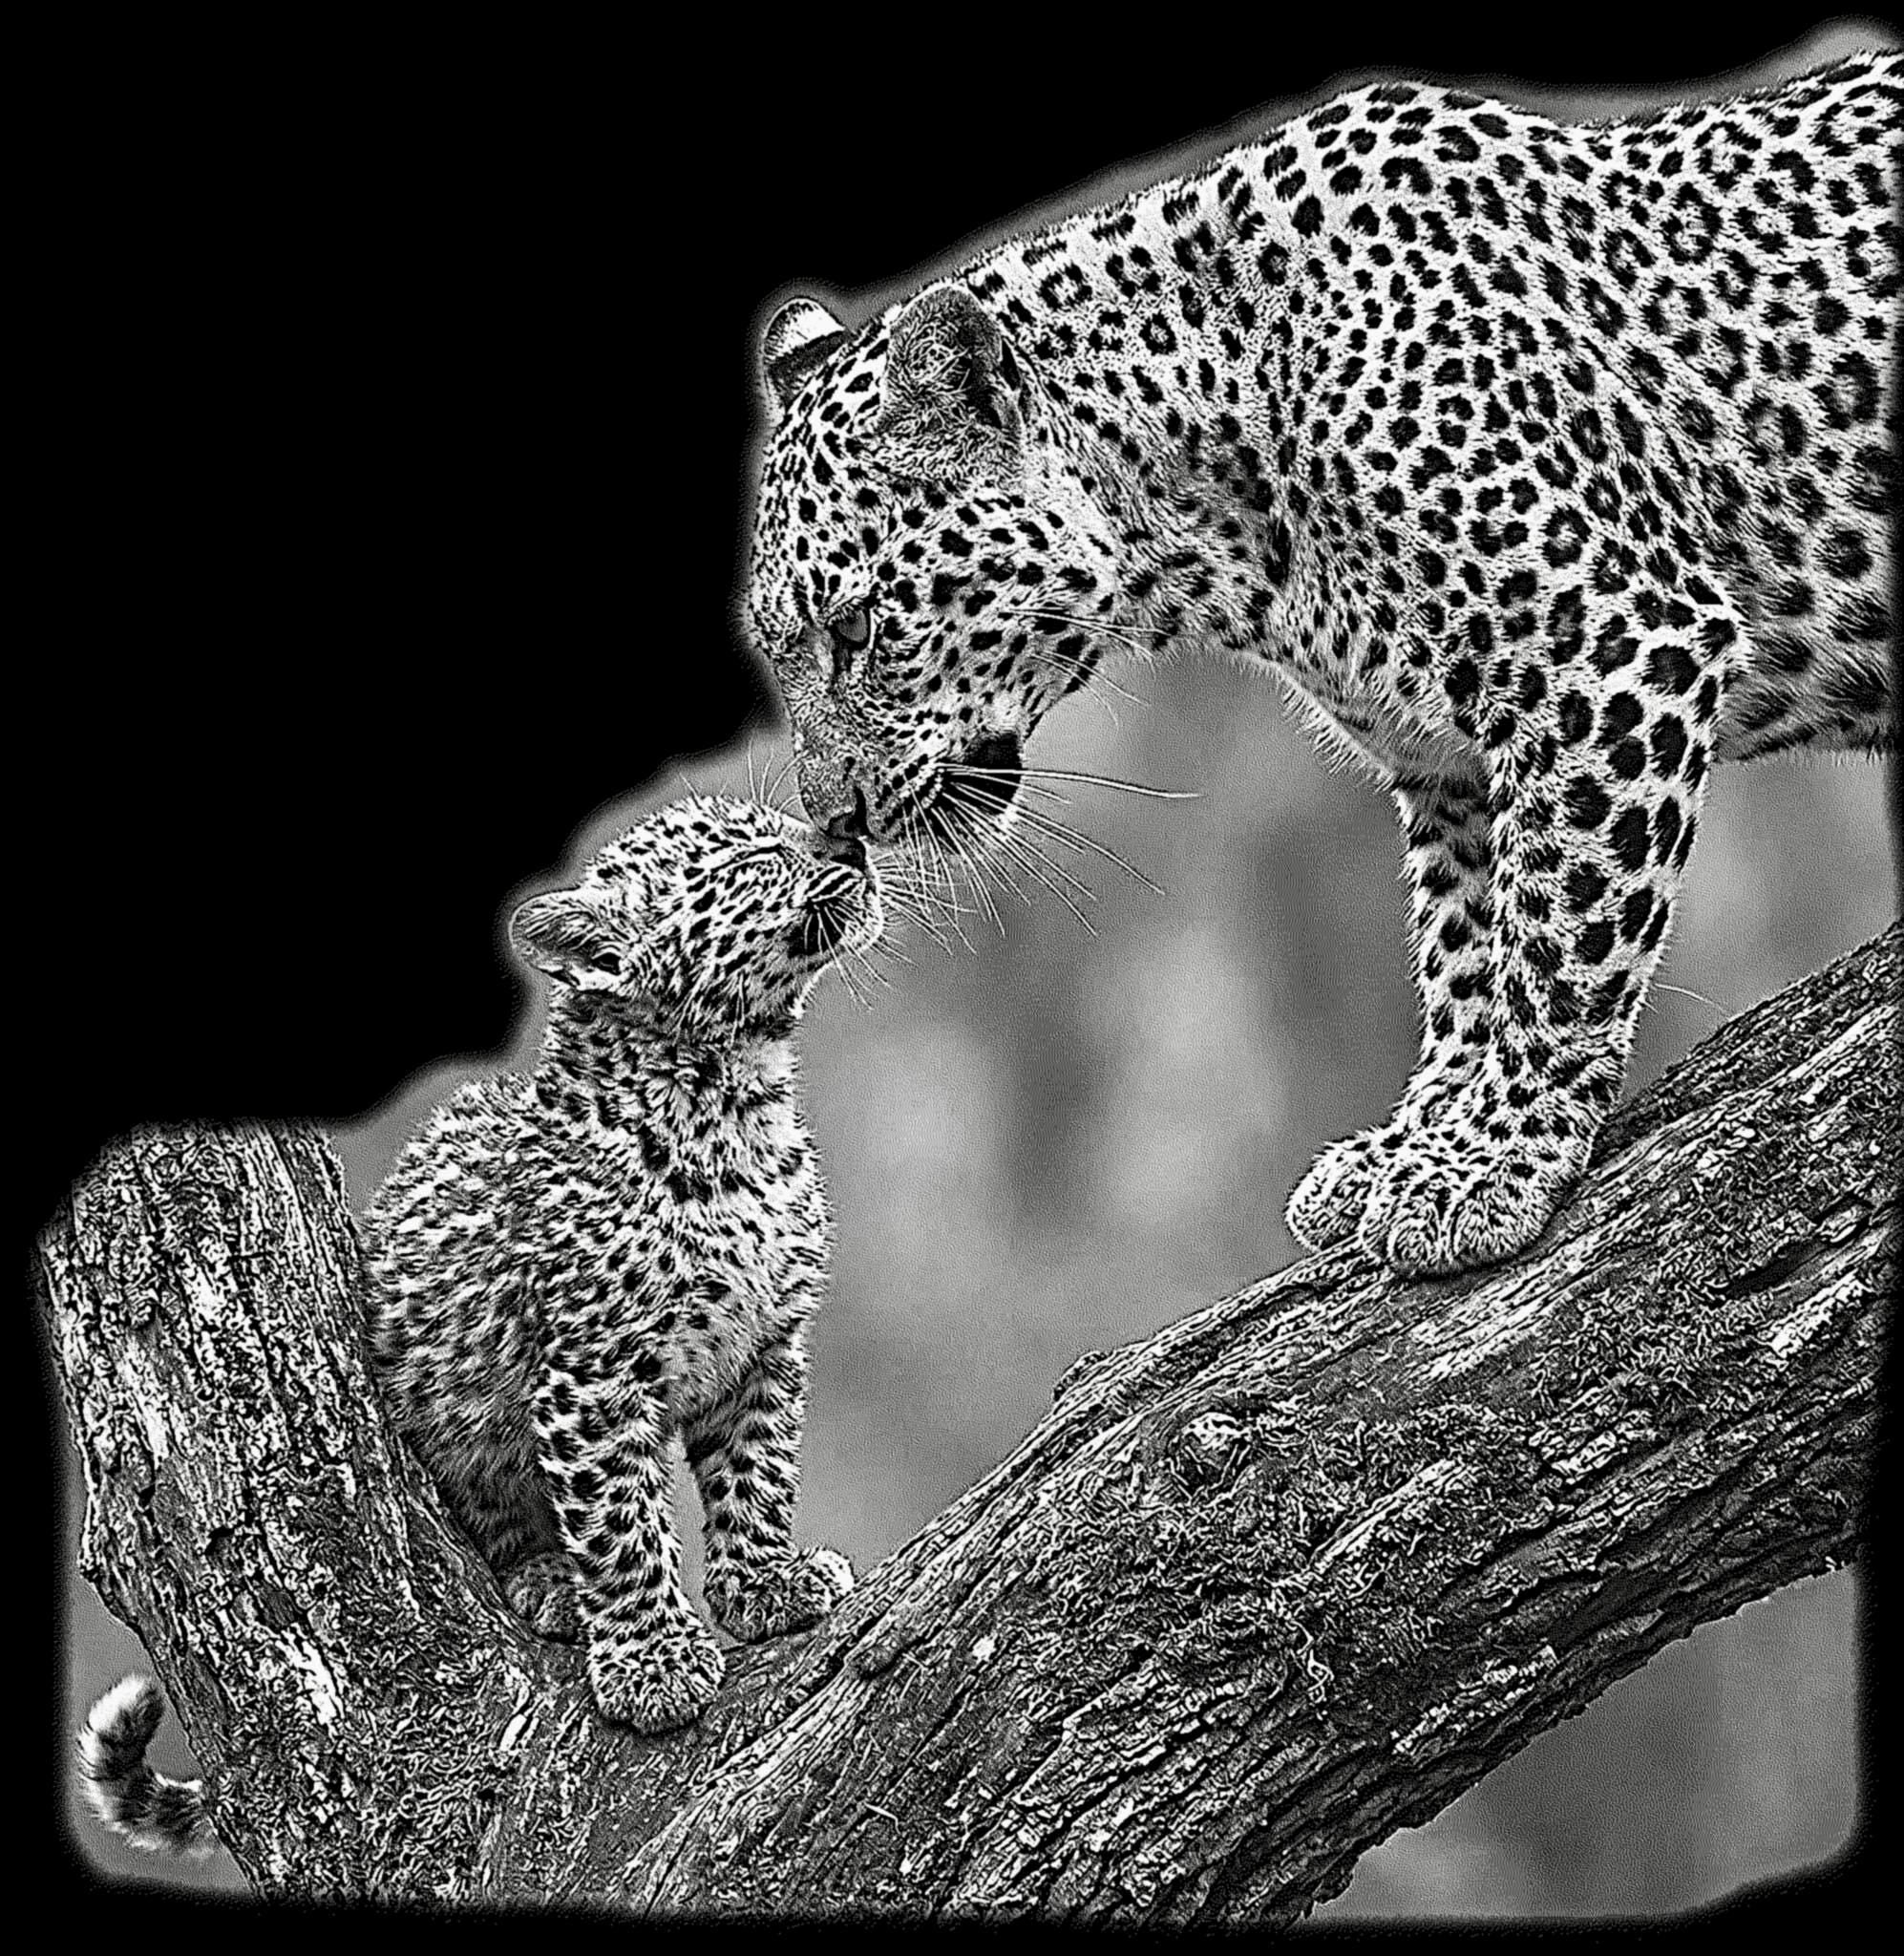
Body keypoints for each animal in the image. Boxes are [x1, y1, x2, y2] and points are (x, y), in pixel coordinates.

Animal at [81, 796, 881, 1849]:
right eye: (749, 855)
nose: (854, 840)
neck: (735, 1098)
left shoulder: (763, 1348)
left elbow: (757, 1476)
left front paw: (765, 1586)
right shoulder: (592, 1369)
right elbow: (621, 1523)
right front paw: (654, 1660)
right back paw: (549, 1586)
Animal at [743, 47, 1898, 1279]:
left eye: (854, 628)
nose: (834, 817)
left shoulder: (1611, 648)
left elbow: (1557, 924)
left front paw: (1492, 1157)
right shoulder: (1444, 758)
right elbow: (1464, 943)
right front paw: (1416, 1137)